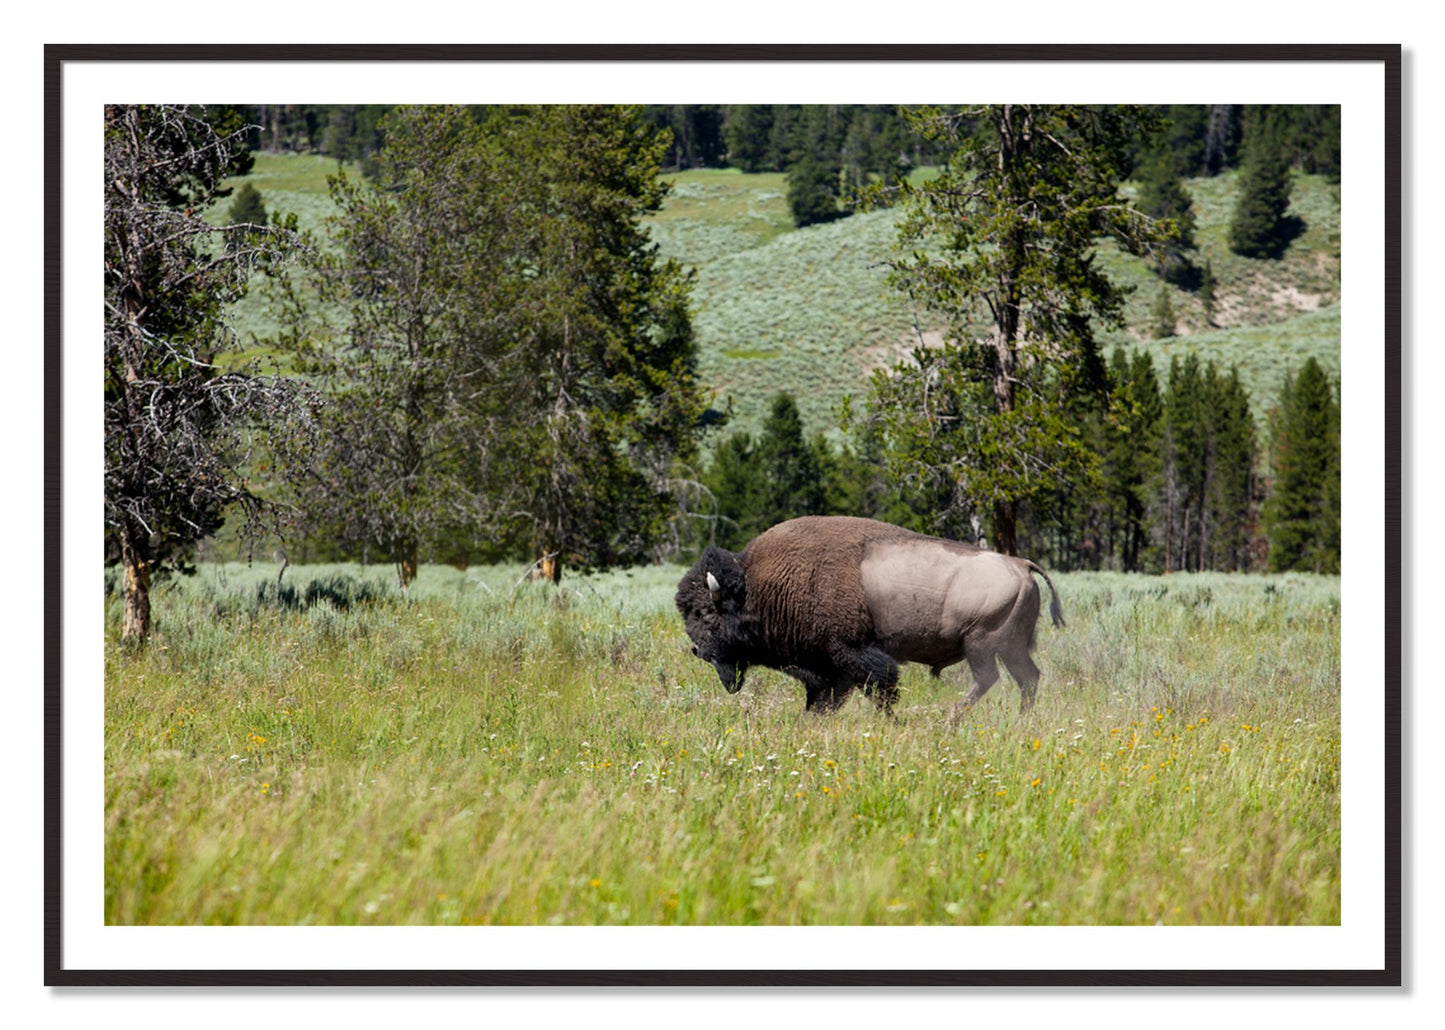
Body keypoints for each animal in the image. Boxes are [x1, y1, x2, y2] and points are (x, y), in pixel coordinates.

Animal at [675, 516, 1064, 715]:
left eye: (706, 613)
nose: (696, 649)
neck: (758, 586)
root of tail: (1021, 564)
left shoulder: (852, 655)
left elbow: (880, 689)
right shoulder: (829, 669)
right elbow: (823, 701)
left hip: (981, 644)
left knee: (989, 679)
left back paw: (950, 718)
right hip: (1010, 647)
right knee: (1027, 678)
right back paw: (1019, 721)